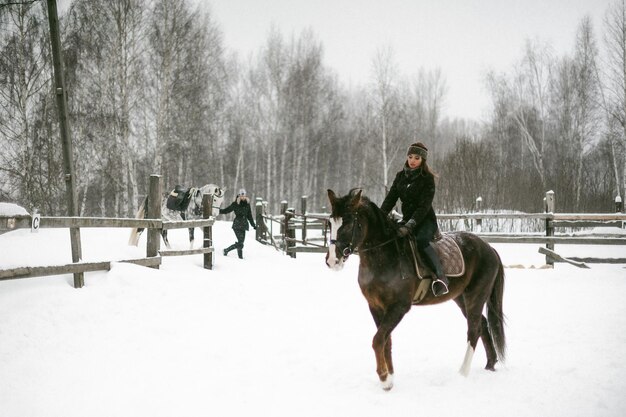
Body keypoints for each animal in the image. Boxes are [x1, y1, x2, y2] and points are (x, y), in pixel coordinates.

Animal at [324, 188, 504, 390]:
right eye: (330, 223)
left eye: (348, 224)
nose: (332, 261)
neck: (384, 257)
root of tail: (489, 248)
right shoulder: (376, 306)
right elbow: (386, 340)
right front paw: (391, 377)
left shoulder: (399, 307)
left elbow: (378, 340)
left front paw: (384, 379)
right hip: (461, 298)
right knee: (483, 325)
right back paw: (490, 364)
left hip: (476, 295)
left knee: (474, 329)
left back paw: (462, 373)